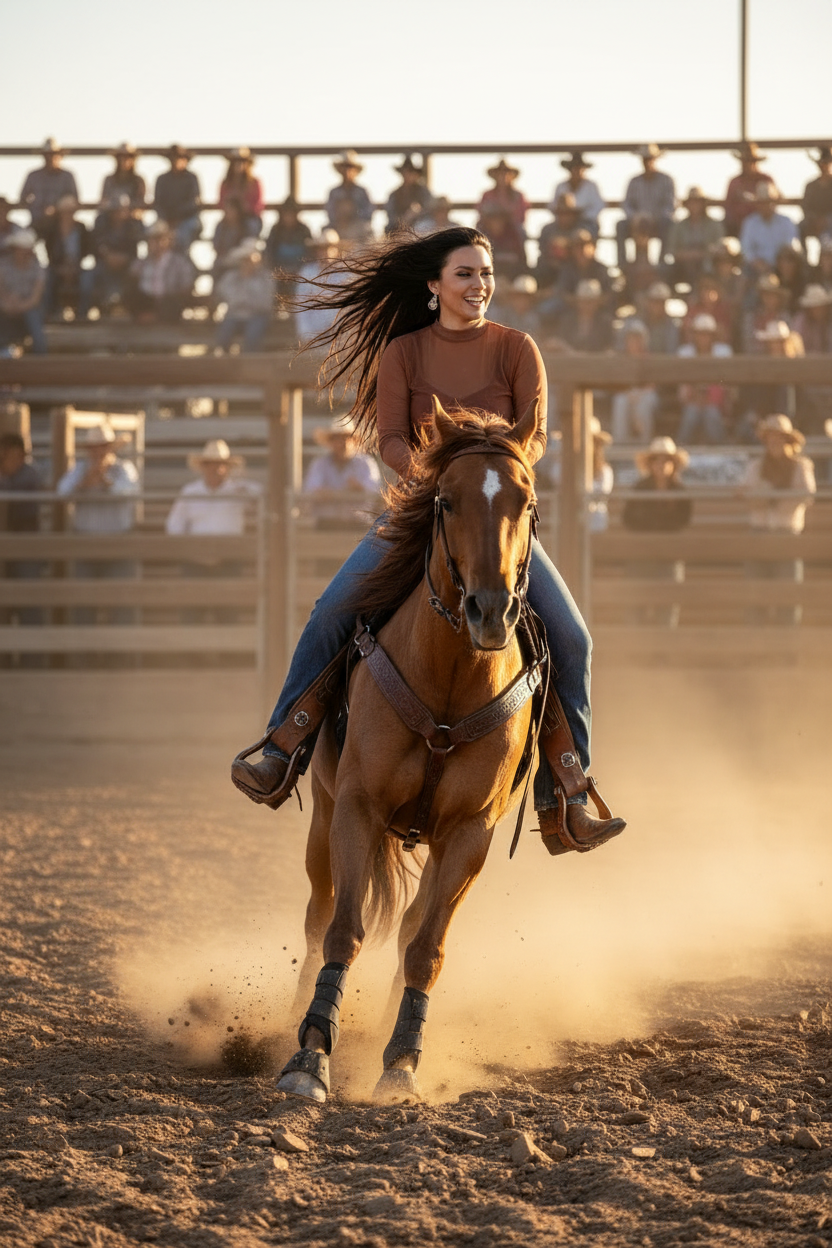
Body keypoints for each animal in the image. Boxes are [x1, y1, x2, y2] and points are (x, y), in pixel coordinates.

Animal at [277, 397, 548, 1104]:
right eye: (446, 501)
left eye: (526, 501)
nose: (489, 609)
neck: (448, 682)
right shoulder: (357, 807)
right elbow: (344, 928)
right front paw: (309, 1056)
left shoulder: (470, 834)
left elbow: (426, 948)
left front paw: (400, 1064)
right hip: (321, 813)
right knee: (317, 916)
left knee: (407, 931)